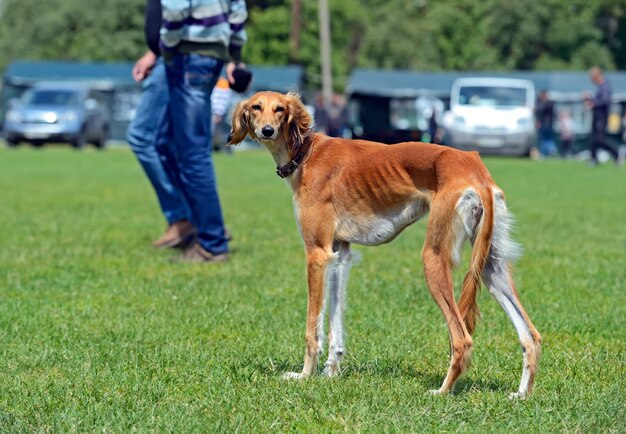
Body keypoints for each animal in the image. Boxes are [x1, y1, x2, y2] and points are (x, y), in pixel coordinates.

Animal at [227, 91, 540, 400]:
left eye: (280, 109)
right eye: (256, 107)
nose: (267, 131)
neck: (306, 151)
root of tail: (476, 168)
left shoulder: (316, 253)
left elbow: (312, 326)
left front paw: (304, 375)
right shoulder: (339, 253)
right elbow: (335, 321)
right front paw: (331, 372)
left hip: (434, 257)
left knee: (462, 338)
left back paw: (442, 391)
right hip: (490, 264)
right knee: (531, 336)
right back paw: (521, 393)